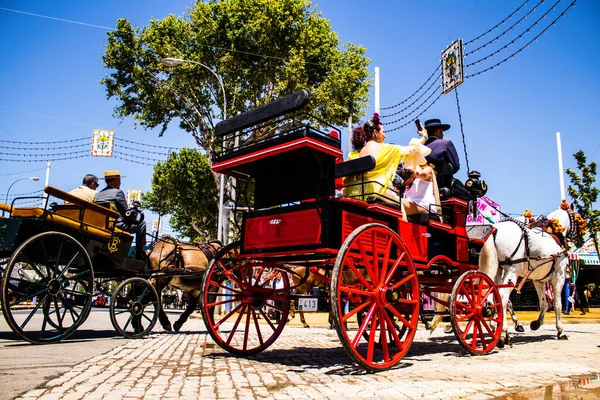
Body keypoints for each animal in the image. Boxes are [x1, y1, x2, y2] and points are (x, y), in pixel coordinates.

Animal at [480, 206, 584, 346]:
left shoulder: (538, 280)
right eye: (578, 220)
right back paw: (503, 334)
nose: (581, 241)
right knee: (502, 298)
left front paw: (537, 323)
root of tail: (496, 228)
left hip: (498, 269)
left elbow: (544, 303)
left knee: (494, 297)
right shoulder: (559, 276)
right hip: (512, 270)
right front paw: (561, 331)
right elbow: (558, 304)